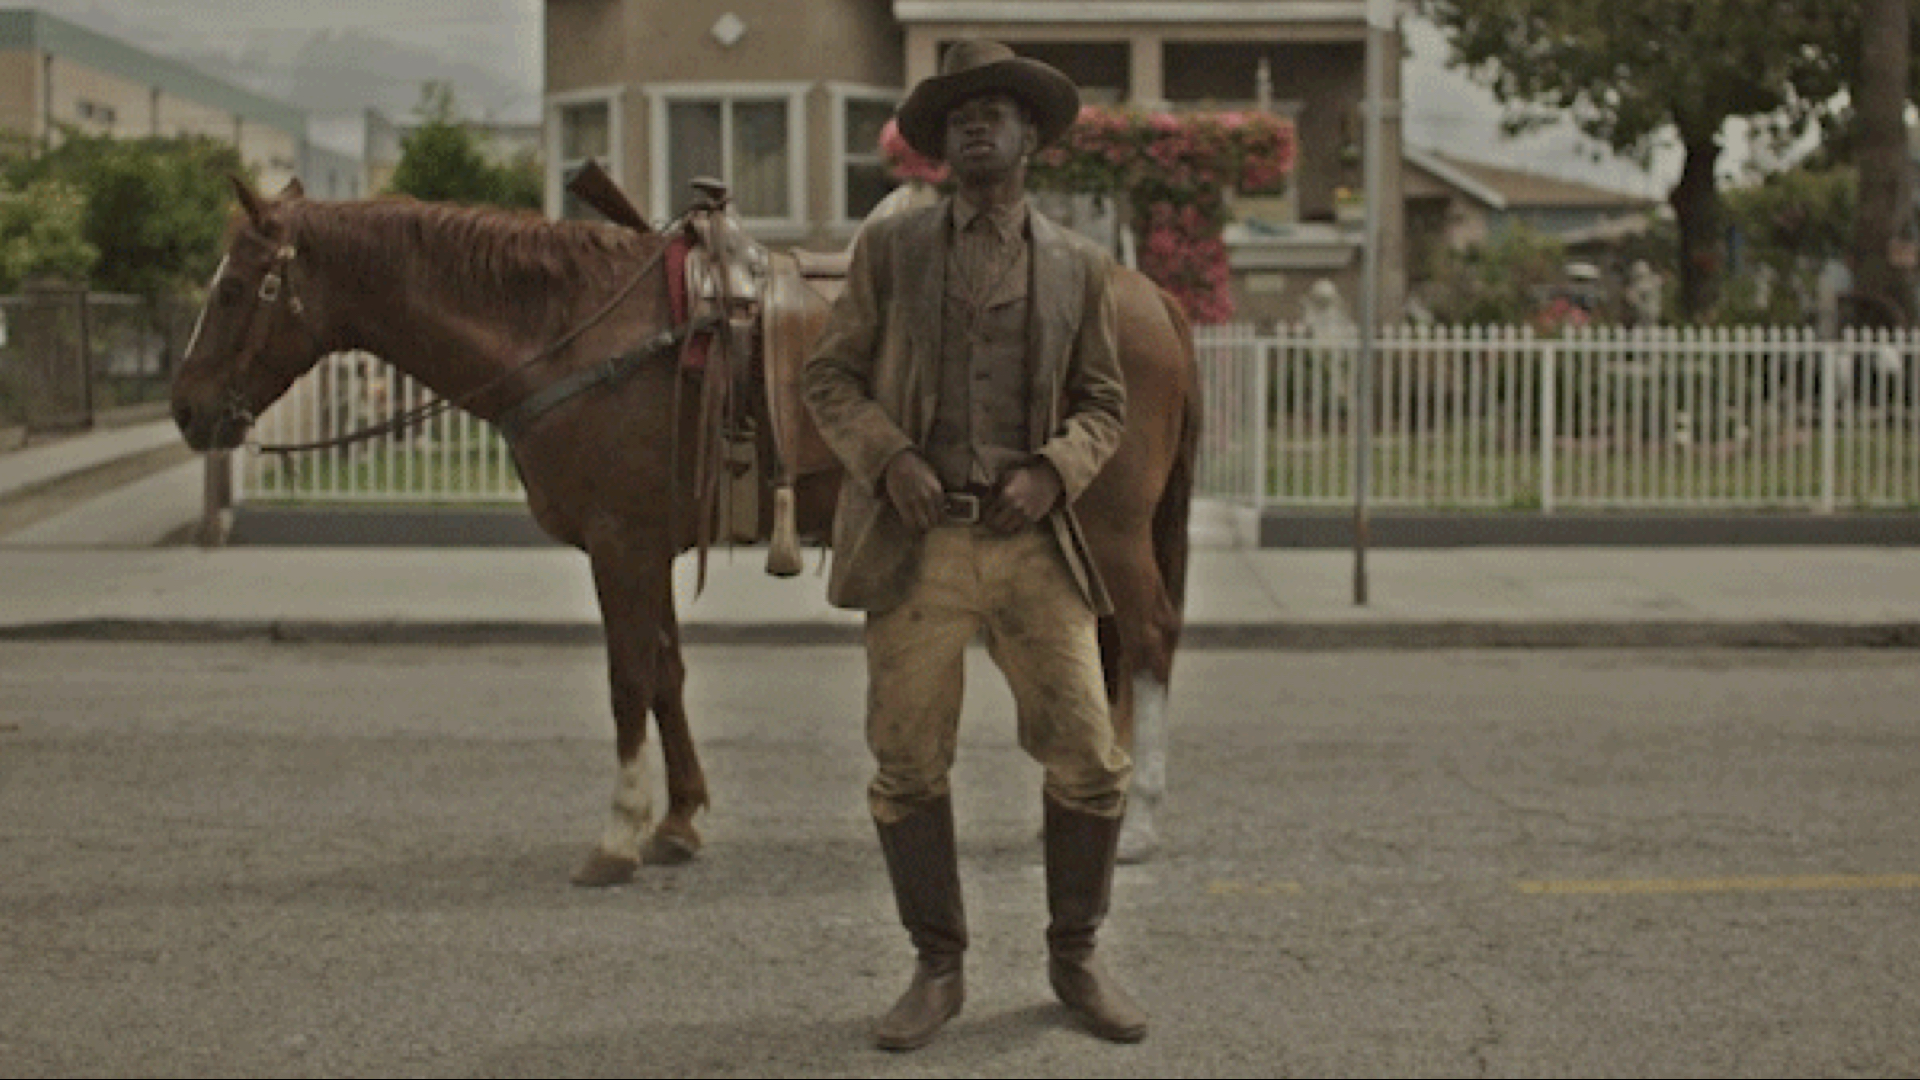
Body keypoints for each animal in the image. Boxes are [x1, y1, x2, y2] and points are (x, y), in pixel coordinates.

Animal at [170, 177, 1198, 884]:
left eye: (234, 291)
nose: (185, 410)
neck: (573, 336)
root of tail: (1149, 296)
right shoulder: (646, 546)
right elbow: (665, 672)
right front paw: (679, 820)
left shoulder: (618, 544)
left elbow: (629, 679)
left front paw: (621, 831)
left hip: (1107, 528)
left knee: (1147, 642)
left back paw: (1142, 819)